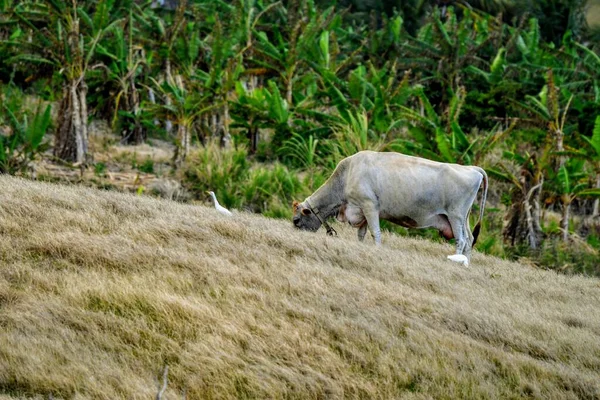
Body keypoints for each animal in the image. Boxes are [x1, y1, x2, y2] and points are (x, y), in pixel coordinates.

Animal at [292, 150, 488, 262]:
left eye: (296, 220)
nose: (296, 234)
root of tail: (472, 168)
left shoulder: (369, 205)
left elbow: (375, 232)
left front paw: (377, 250)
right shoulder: (360, 210)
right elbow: (361, 234)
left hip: (455, 215)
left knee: (461, 240)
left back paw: (454, 261)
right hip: (463, 218)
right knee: (469, 239)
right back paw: (465, 263)